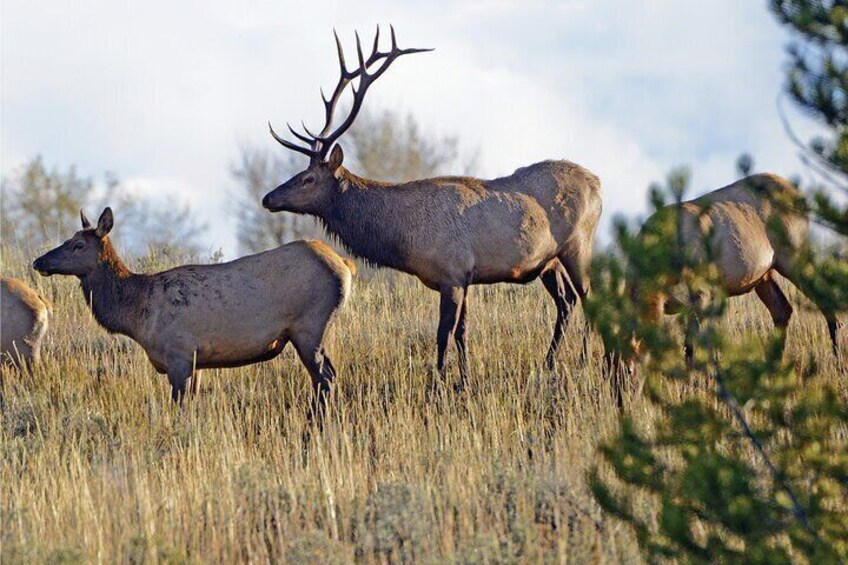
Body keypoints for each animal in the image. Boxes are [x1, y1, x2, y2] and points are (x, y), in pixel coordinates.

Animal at [33, 205, 354, 412]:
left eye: (77, 245)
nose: (39, 261)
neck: (137, 315)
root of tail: (345, 265)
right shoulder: (197, 362)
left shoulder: (179, 355)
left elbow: (179, 408)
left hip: (309, 326)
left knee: (325, 378)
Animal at [262, 27, 600, 388]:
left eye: (308, 178)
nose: (268, 198)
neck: (406, 240)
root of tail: (597, 183)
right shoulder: (464, 277)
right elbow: (463, 332)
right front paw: (464, 380)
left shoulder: (451, 273)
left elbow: (444, 334)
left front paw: (439, 383)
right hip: (548, 261)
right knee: (566, 302)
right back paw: (549, 363)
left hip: (578, 245)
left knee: (588, 297)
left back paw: (584, 360)